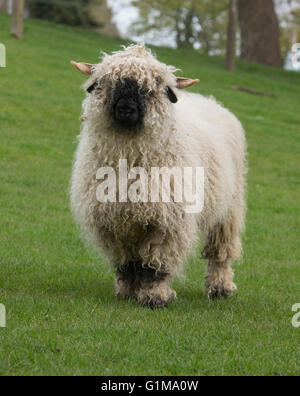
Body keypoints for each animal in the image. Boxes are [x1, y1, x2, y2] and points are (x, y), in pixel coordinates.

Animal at [69, 44, 246, 310]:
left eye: (152, 89)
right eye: (104, 82)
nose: (126, 109)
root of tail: (208, 100)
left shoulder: (166, 222)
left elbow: (155, 264)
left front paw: (155, 296)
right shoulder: (113, 221)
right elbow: (126, 262)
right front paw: (128, 291)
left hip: (228, 211)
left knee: (221, 252)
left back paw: (219, 287)